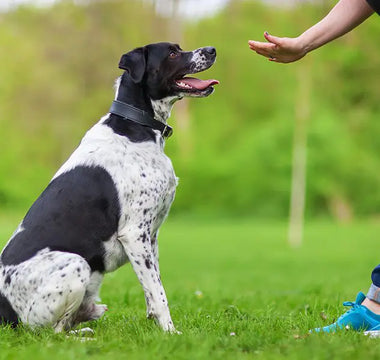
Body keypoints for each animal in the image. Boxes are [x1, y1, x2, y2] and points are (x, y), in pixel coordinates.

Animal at [0, 42, 218, 332]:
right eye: (172, 53)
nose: (212, 49)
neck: (135, 126)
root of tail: (4, 311)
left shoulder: (151, 236)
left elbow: (152, 289)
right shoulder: (135, 233)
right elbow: (159, 293)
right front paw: (171, 332)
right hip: (75, 264)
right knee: (52, 332)